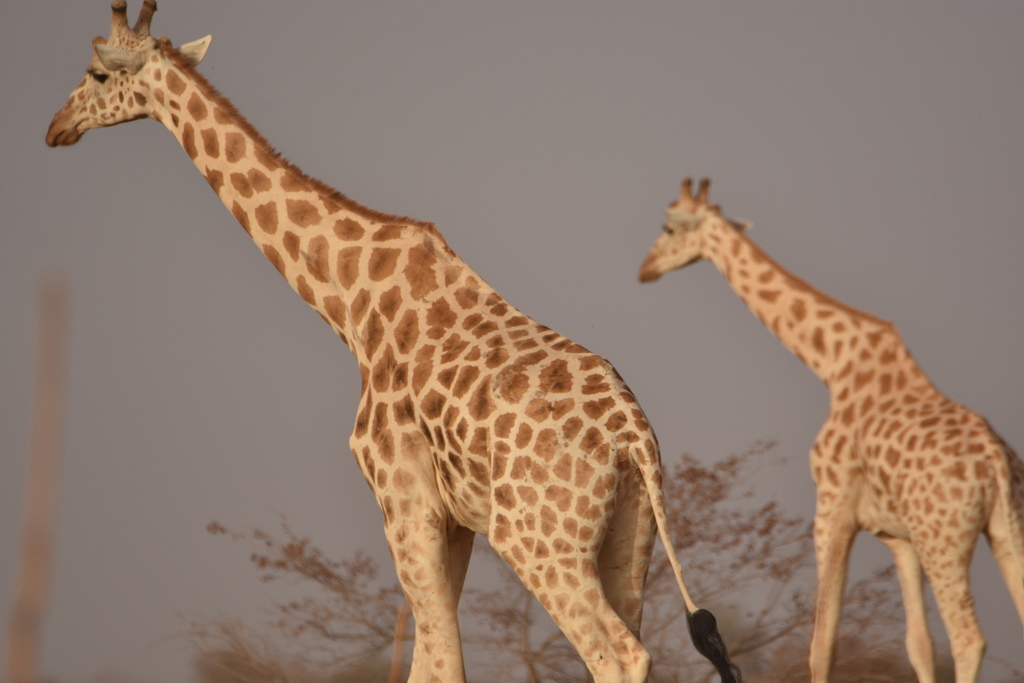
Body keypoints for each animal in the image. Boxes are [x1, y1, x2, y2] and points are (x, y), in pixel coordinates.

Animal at [45, 5, 741, 682]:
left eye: (97, 73)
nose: (56, 127)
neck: (349, 301)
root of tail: (632, 442)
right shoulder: (455, 518)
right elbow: (428, 662)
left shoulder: (403, 497)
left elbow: (441, 662)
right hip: (629, 535)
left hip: (538, 541)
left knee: (618, 656)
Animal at [638, 178, 1024, 682]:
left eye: (668, 228)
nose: (645, 269)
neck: (832, 363)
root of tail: (997, 463)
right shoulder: (897, 536)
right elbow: (918, 645)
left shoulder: (832, 504)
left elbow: (821, 644)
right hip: (1003, 527)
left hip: (945, 538)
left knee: (967, 639)